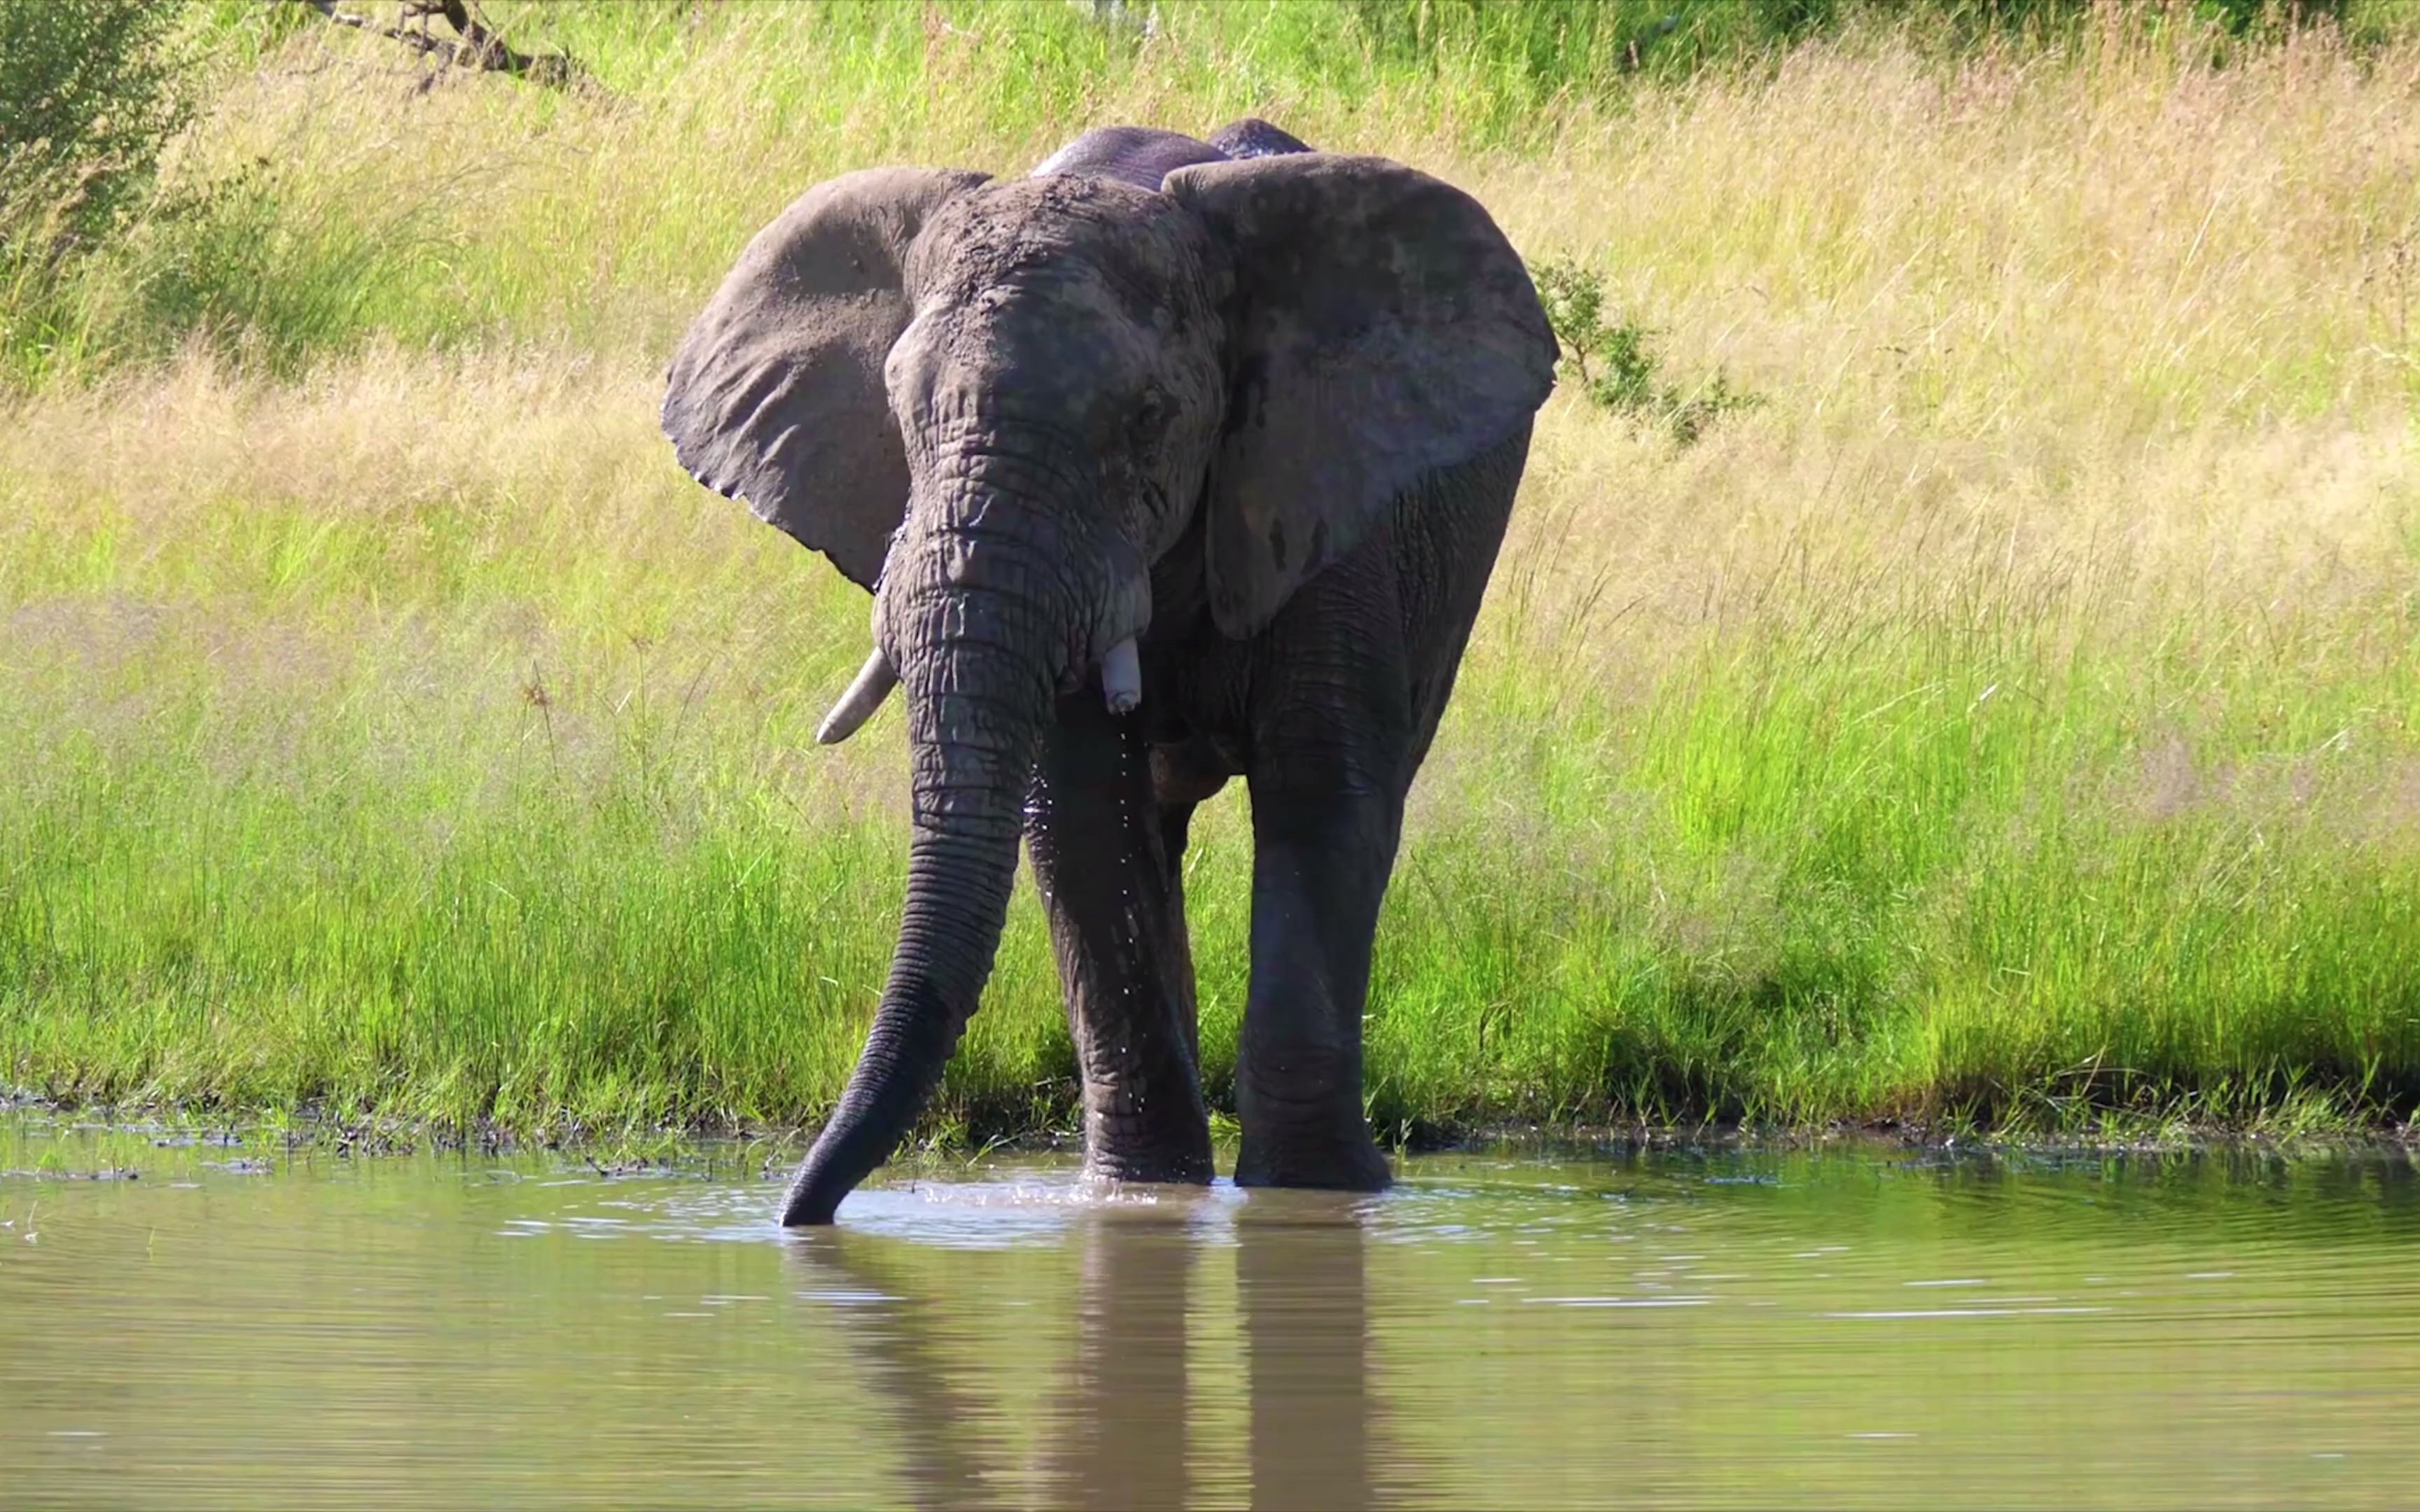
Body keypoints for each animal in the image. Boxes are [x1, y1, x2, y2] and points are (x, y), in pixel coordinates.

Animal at [662, 120, 1548, 1228]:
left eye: (1149, 418)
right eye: (898, 411)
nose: (796, 1216)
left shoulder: (1320, 500)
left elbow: (1322, 795)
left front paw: (1315, 1197)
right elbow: (1085, 817)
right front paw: (1144, 1198)